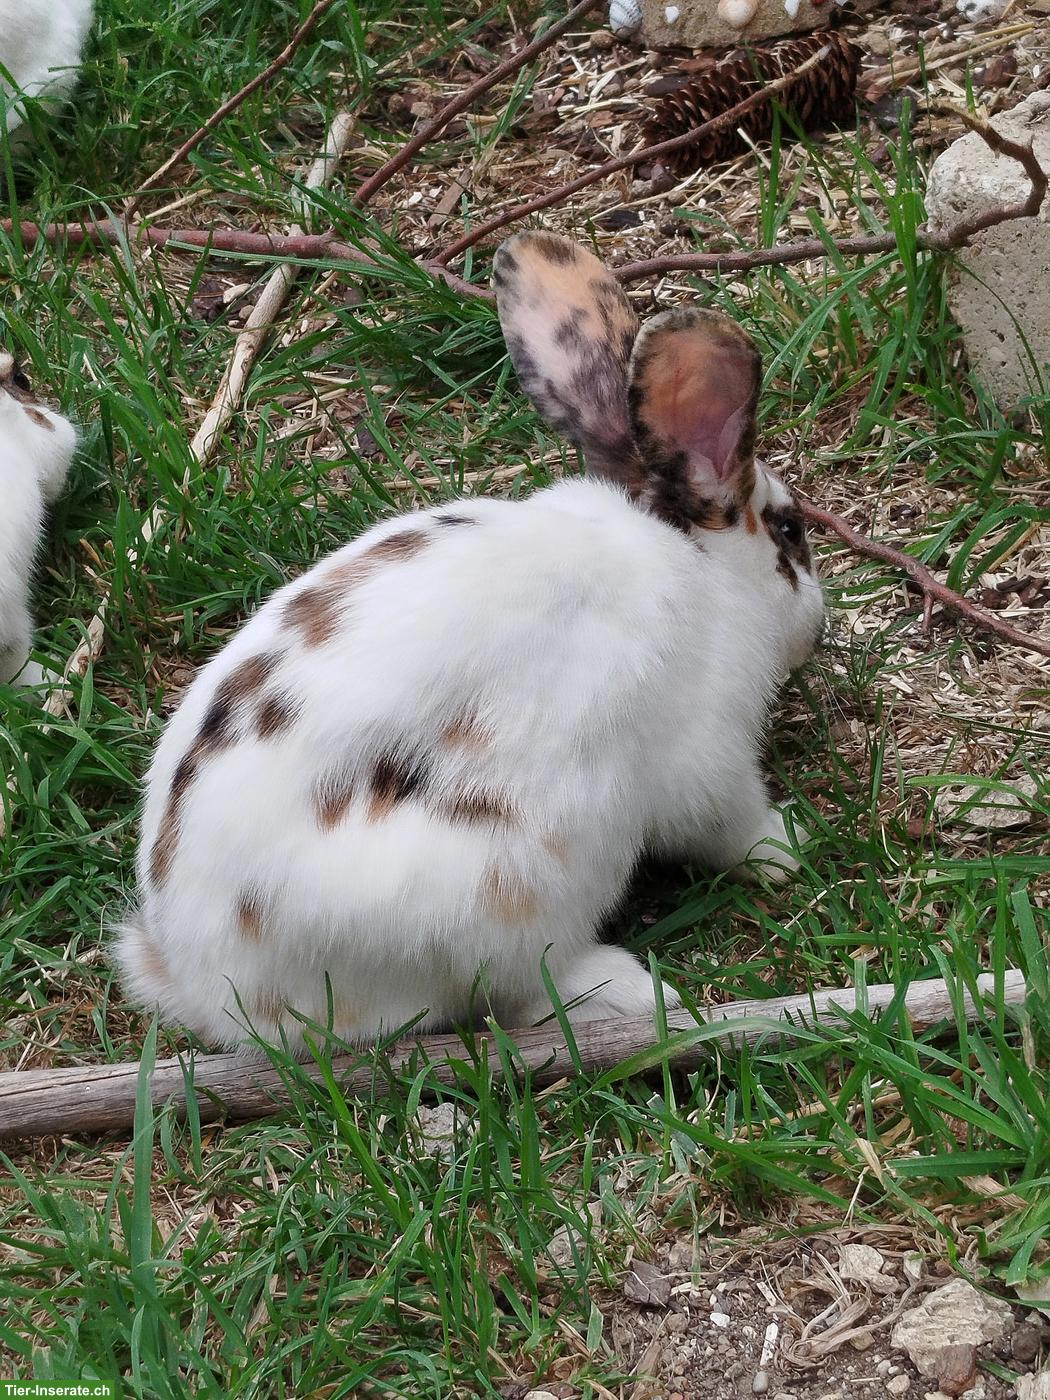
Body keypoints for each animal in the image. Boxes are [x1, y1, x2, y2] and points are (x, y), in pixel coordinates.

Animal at [116, 231, 825, 1055]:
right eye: (790, 531)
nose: (818, 625)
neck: (704, 574)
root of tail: (205, 987)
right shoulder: (709, 763)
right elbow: (734, 827)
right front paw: (788, 843)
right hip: (504, 893)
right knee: (522, 989)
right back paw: (633, 991)